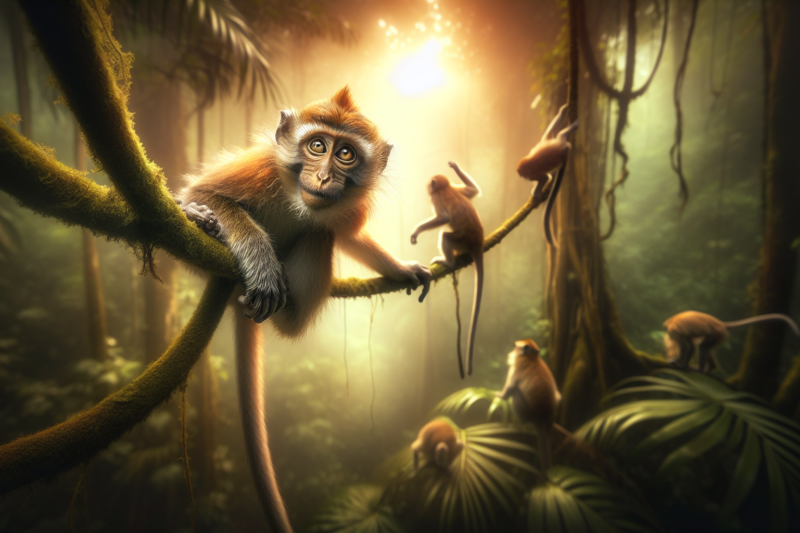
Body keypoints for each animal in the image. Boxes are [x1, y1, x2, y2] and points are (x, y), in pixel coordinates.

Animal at [179, 87, 432, 533]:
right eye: (317, 146)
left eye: (345, 154)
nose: (324, 177)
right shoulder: (259, 168)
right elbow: (201, 193)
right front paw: (256, 256)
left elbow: (349, 237)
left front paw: (400, 268)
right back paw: (206, 225)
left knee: (321, 233)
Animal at [410, 161, 484, 378]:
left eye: (430, 185)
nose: (427, 186)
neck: (445, 188)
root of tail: (477, 242)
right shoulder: (458, 189)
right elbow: (473, 191)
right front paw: (456, 168)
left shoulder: (437, 197)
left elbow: (443, 218)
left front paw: (417, 231)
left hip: (461, 240)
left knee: (445, 235)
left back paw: (448, 262)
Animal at [496, 339, 561, 478]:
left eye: (516, 346)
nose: (512, 350)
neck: (531, 357)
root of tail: (540, 417)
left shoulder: (517, 367)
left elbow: (511, 388)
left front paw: (500, 395)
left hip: (526, 411)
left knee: (516, 393)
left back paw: (522, 422)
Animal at [516, 103, 579, 247]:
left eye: (524, 174)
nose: (523, 177)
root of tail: (564, 146)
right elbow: (546, 177)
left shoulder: (533, 173)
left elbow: (545, 178)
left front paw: (536, 193)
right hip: (551, 143)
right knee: (549, 134)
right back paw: (563, 113)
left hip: (560, 146)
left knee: (559, 136)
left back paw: (570, 128)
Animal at [664, 311, 800, 374]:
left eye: (669, 334)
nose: (668, 336)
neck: (670, 322)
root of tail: (721, 324)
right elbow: (691, 346)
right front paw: (681, 363)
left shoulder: (674, 331)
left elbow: (687, 347)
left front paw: (680, 364)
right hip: (719, 336)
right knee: (704, 346)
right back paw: (710, 368)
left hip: (717, 333)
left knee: (702, 347)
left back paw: (700, 370)